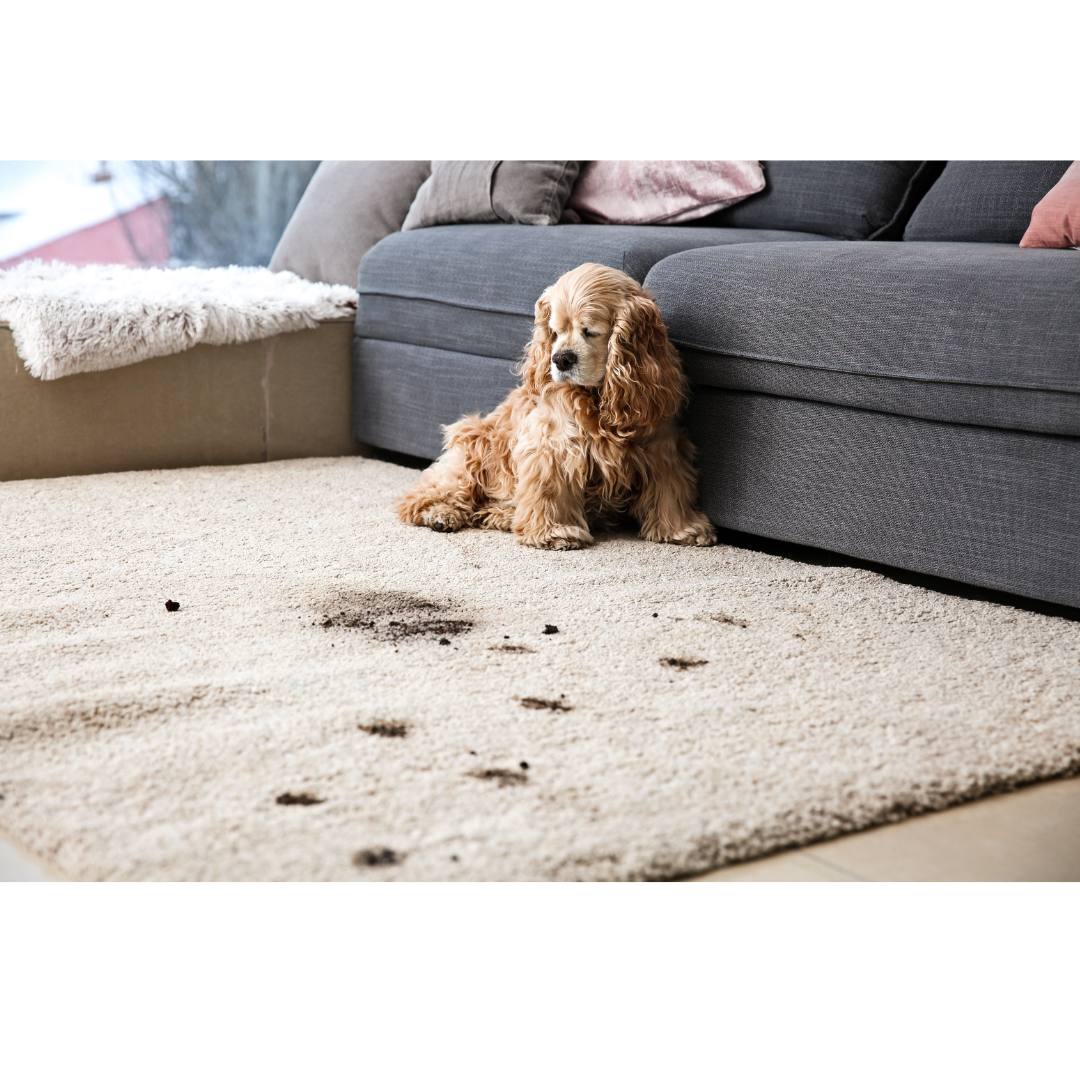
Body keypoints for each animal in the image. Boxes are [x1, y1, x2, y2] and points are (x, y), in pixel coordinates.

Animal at [397, 261, 717, 548]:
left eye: (590, 331)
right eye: (555, 331)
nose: (561, 358)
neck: (597, 398)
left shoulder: (661, 446)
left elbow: (670, 490)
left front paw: (681, 529)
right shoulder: (551, 445)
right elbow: (549, 489)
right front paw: (553, 532)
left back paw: (502, 515)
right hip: (474, 445)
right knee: (424, 493)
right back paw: (440, 513)